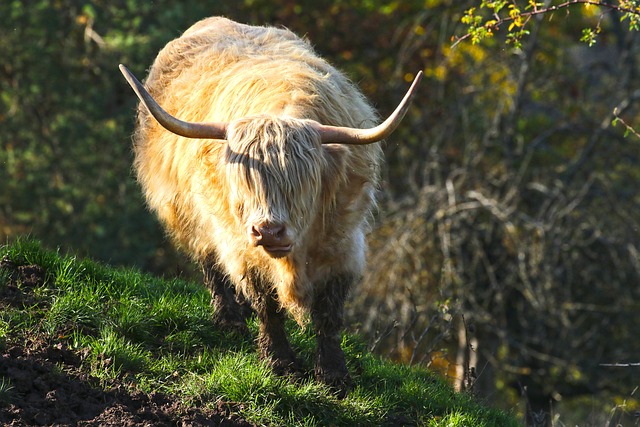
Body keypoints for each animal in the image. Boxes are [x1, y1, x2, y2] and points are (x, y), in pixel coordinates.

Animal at [120, 17, 422, 398]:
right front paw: (280, 364)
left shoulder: (343, 244)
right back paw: (230, 318)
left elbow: (329, 313)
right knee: (210, 263)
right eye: (244, 182)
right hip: (191, 218)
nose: (269, 230)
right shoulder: (241, 248)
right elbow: (267, 305)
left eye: (300, 183)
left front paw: (333, 374)